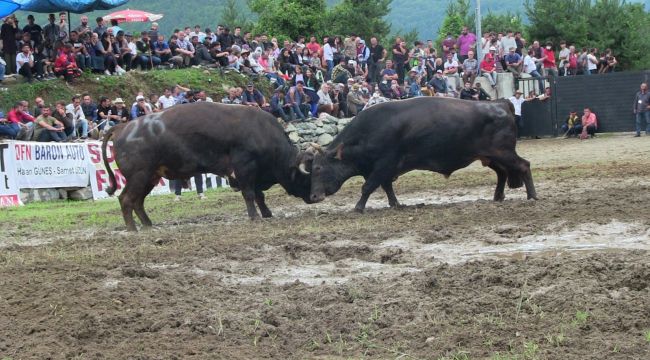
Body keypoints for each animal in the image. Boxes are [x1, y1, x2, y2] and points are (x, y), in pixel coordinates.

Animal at [102, 102, 312, 231]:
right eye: (307, 175)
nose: (314, 197)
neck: (262, 131)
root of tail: (123, 127)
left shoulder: (253, 173)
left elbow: (259, 195)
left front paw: (267, 213)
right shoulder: (244, 168)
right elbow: (250, 194)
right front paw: (255, 217)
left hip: (150, 177)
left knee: (137, 201)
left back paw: (148, 225)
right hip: (139, 176)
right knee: (126, 199)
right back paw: (132, 229)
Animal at [304, 97, 536, 212]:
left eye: (319, 168)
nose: (313, 196)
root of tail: (499, 103)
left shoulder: (384, 164)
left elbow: (368, 186)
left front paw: (358, 207)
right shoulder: (384, 169)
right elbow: (386, 187)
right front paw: (395, 204)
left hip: (503, 152)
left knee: (523, 165)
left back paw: (532, 196)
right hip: (489, 156)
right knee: (502, 173)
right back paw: (497, 197)